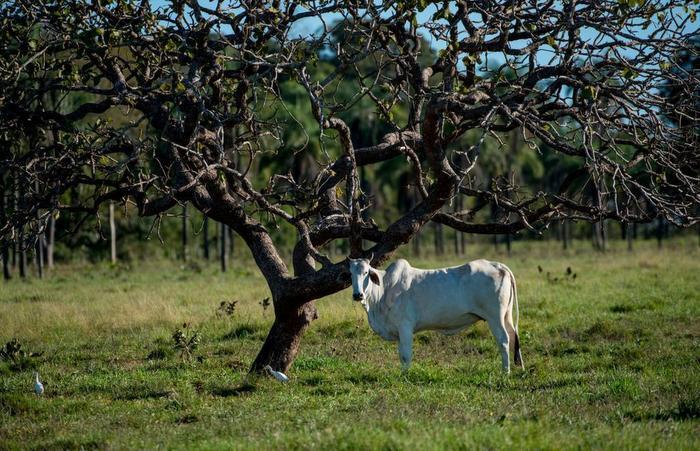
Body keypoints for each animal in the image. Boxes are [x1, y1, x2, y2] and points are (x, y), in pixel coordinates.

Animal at [348, 258, 524, 374]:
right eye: (350, 274)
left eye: (366, 272)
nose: (358, 295)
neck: (384, 289)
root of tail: (498, 265)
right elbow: (401, 355)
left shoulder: (405, 327)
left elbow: (405, 355)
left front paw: (404, 376)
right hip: (506, 316)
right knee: (513, 336)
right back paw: (520, 369)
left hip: (495, 317)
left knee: (503, 340)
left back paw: (505, 372)